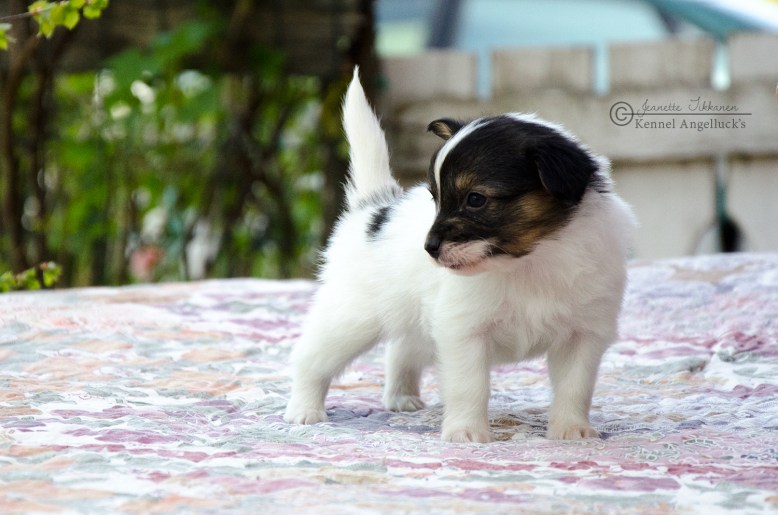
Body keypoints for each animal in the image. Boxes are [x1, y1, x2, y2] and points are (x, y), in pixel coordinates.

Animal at [284, 68, 636, 443]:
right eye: (435, 198)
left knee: (401, 351)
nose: (428, 248)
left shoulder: (583, 335)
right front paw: (467, 432)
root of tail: (374, 208)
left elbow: (575, 387)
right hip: (353, 317)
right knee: (311, 358)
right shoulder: (464, 332)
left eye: (475, 199)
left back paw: (402, 398)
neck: (530, 261)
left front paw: (571, 430)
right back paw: (304, 409)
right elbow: (470, 387)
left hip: (414, 319)